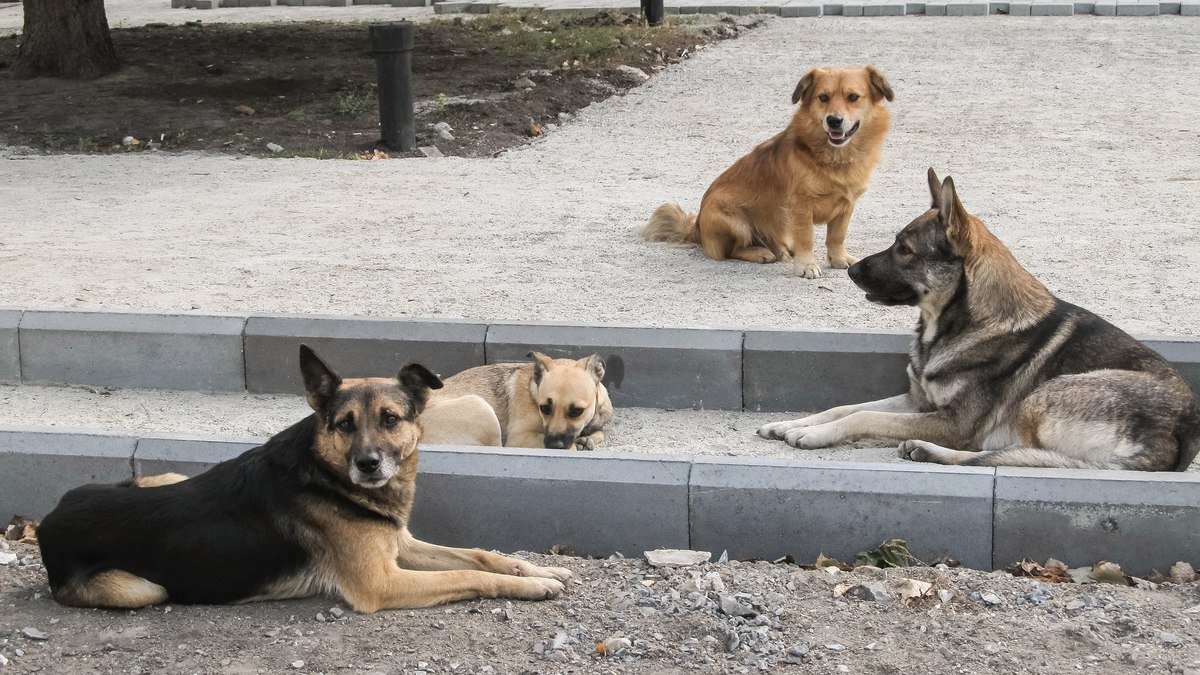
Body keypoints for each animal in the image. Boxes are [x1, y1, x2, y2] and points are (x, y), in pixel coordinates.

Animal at [37, 345, 571, 610]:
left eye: (391, 419)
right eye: (344, 425)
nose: (368, 465)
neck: (326, 475)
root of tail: (48, 520)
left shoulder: (399, 545)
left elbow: (481, 555)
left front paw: (540, 571)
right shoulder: (382, 583)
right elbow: (468, 574)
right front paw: (531, 587)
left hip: (163, 477)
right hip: (145, 589)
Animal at [432, 348, 614, 449]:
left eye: (577, 411)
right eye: (544, 408)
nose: (553, 446)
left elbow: (599, 433)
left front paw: (587, 439)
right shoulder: (518, 438)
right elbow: (571, 448)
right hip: (480, 407)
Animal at [758, 169, 1200, 468]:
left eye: (905, 250)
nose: (849, 270)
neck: (961, 323)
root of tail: (1180, 433)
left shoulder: (953, 422)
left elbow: (864, 415)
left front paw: (813, 435)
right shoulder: (917, 402)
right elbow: (845, 407)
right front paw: (796, 424)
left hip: (1042, 397)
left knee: (997, 456)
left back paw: (929, 450)